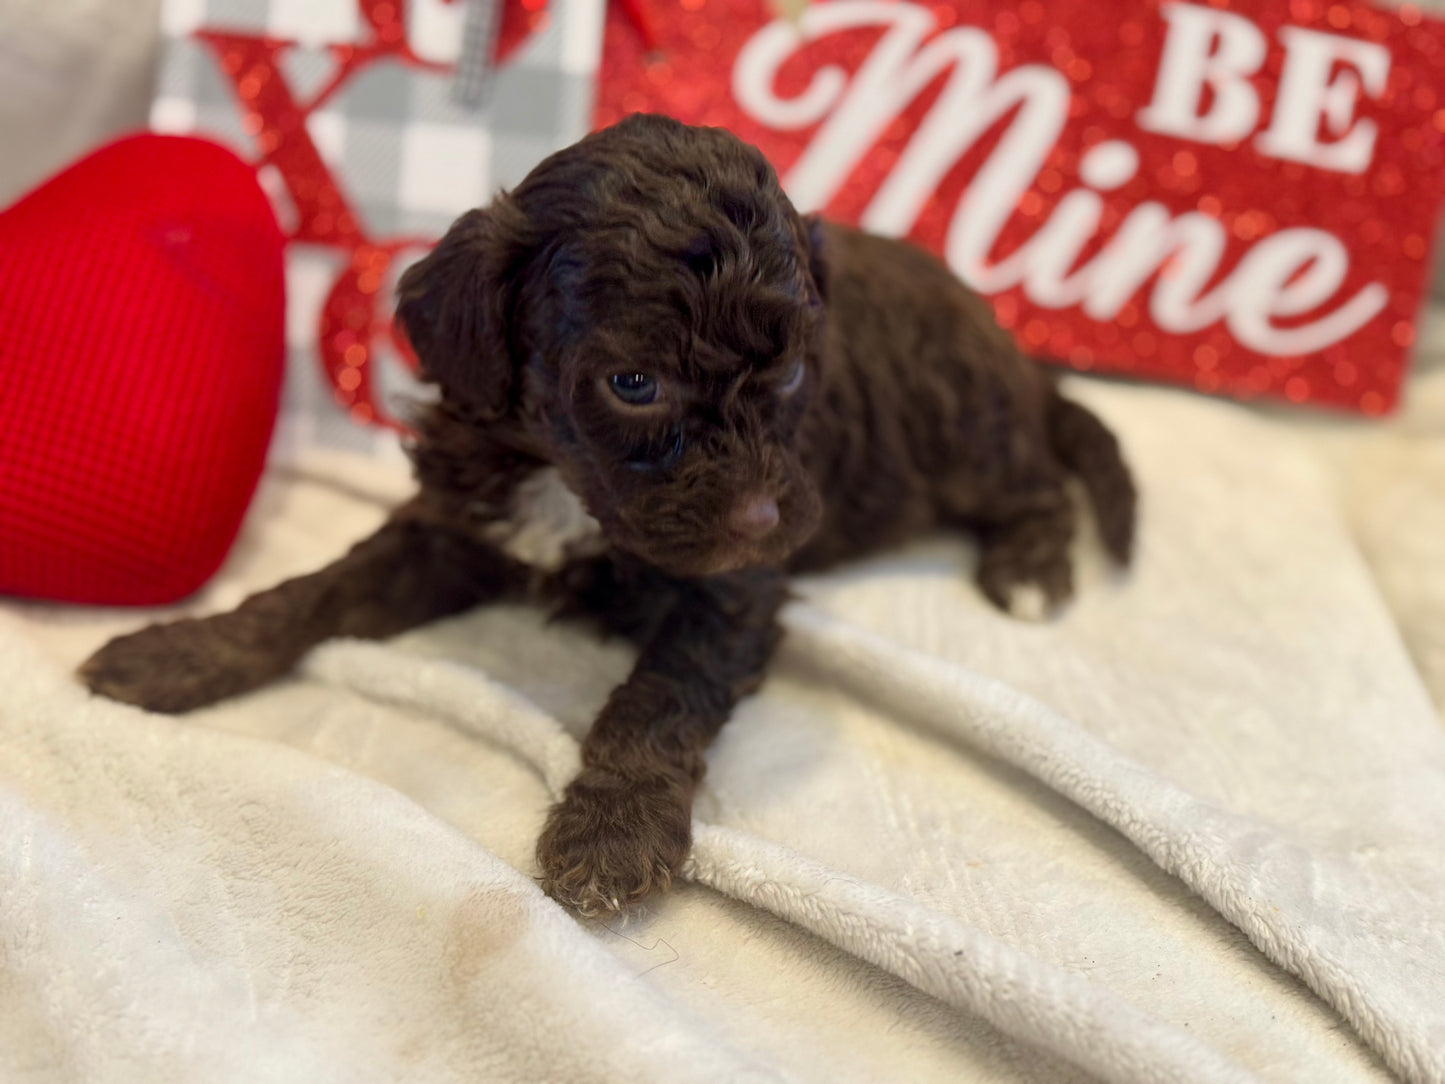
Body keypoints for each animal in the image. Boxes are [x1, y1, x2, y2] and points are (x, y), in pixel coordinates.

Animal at [84, 114, 1132, 919]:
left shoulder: (729, 591)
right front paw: (180, 651)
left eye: (796, 368)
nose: (762, 515)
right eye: (634, 385)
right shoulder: (451, 526)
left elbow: (658, 696)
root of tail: (1012, 348)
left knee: (1038, 483)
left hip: (962, 428)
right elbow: (314, 590)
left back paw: (1029, 572)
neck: (562, 478)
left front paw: (610, 833)